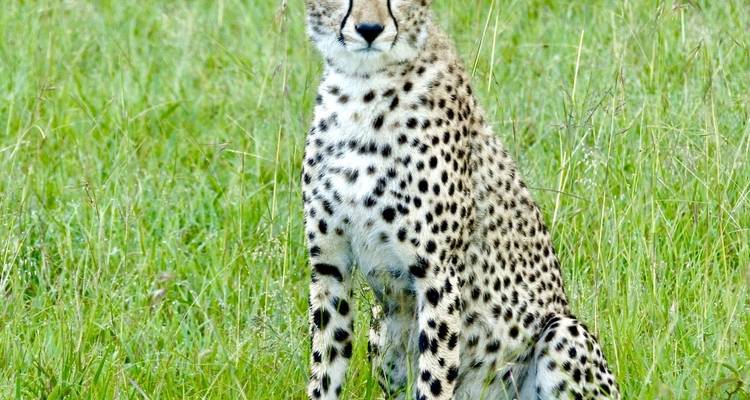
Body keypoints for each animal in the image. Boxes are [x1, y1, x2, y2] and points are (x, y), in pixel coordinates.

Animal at [301, 0, 620, 399]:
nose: (370, 29)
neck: (361, 89)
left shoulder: (437, 274)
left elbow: (435, 375)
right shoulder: (330, 266)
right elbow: (325, 365)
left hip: (562, 330)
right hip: (381, 331)